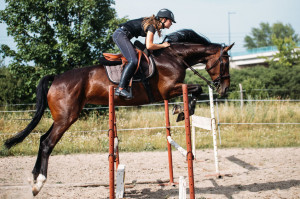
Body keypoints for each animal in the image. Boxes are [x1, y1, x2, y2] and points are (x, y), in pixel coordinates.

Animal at [4, 29, 234, 196]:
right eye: (225, 62)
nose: (224, 89)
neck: (174, 56)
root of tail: (57, 77)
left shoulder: (172, 90)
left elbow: (197, 90)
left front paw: (180, 110)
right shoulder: (169, 89)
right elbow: (197, 89)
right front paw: (182, 111)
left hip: (63, 117)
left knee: (42, 139)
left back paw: (33, 179)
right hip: (67, 118)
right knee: (47, 143)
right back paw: (38, 184)